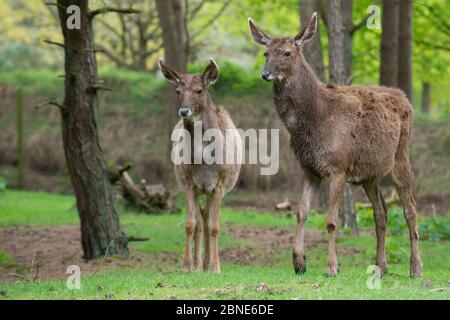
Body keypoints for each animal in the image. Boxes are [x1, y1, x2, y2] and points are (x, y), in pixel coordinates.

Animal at [159, 58, 243, 272]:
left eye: (199, 90)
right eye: (177, 91)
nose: (184, 111)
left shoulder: (219, 185)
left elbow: (215, 226)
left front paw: (215, 267)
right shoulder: (188, 184)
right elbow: (190, 224)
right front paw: (186, 266)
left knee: (206, 220)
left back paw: (206, 264)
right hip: (196, 189)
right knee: (200, 220)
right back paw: (199, 264)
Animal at [250, 12, 422, 278]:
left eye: (287, 53)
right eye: (266, 53)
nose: (265, 74)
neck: (313, 123)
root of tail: (405, 99)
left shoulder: (339, 166)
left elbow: (331, 220)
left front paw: (331, 267)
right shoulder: (309, 169)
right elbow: (301, 213)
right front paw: (299, 262)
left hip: (401, 156)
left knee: (410, 209)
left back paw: (415, 268)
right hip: (370, 173)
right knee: (381, 211)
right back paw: (380, 267)